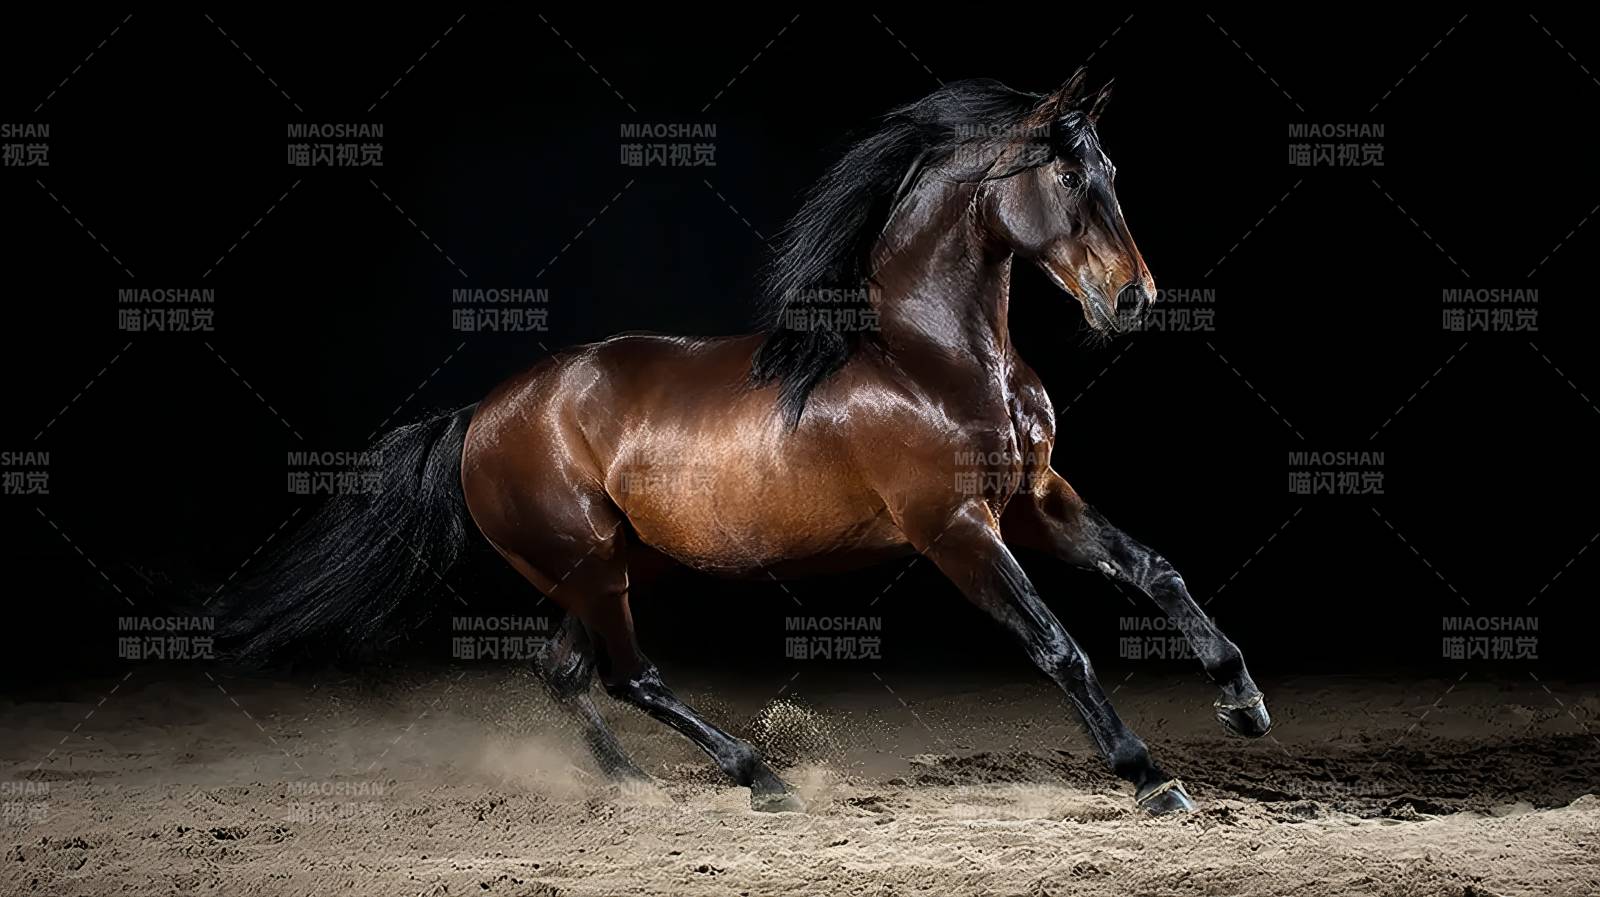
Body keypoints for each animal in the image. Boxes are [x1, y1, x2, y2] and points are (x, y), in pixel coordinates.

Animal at [218, 69, 1272, 815]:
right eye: (1066, 174)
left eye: (1113, 175)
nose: (1133, 300)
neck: (932, 355)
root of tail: (478, 415)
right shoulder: (956, 528)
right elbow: (1060, 646)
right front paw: (1150, 776)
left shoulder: (1036, 498)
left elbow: (1157, 569)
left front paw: (1243, 701)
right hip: (589, 564)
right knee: (627, 672)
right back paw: (759, 777)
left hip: (610, 564)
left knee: (568, 672)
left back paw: (639, 787)